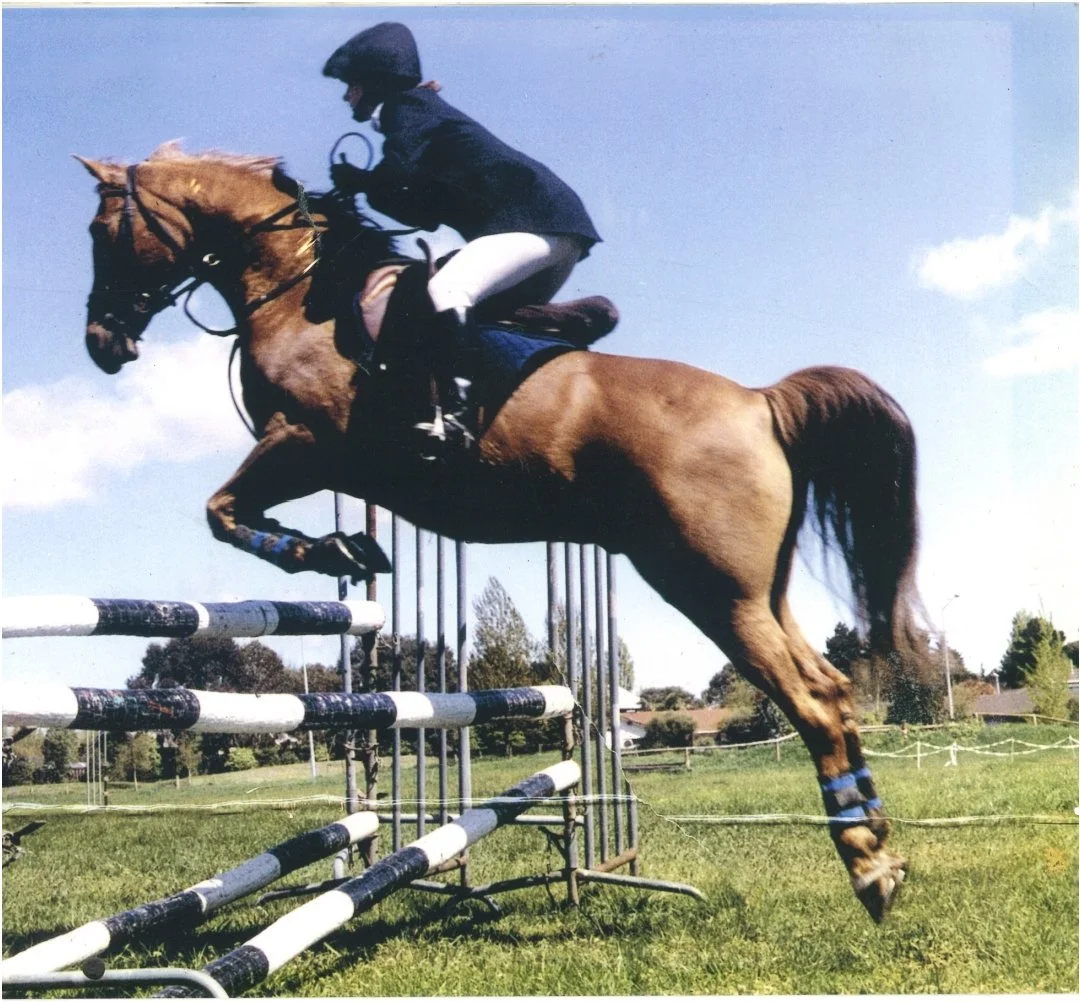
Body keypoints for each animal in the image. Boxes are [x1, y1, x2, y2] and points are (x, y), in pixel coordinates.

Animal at [77, 143, 922, 922]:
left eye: (100, 230)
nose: (101, 344)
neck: (298, 290)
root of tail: (759, 400)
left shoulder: (306, 443)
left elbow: (222, 511)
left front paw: (328, 550)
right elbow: (230, 511)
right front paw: (347, 549)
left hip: (709, 588)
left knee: (811, 700)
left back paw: (867, 868)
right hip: (758, 590)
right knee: (833, 688)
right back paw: (880, 843)